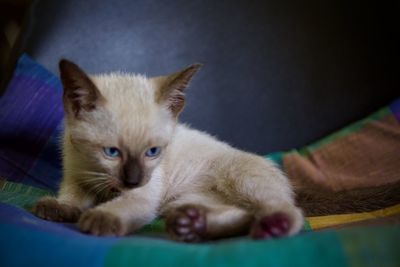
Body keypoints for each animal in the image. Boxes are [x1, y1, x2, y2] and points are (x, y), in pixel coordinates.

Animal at [32, 59, 304, 243]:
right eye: (111, 152)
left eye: (153, 151)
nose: (133, 181)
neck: (97, 175)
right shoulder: (76, 176)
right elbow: (72, 198)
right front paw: (58, 208)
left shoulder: (145, 192)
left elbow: (124, 205)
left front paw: (100, 218)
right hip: (181, 201)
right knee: (244, 215)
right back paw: (192, 225)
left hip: (238, 178)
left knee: (285, 210)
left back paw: (272, 226)